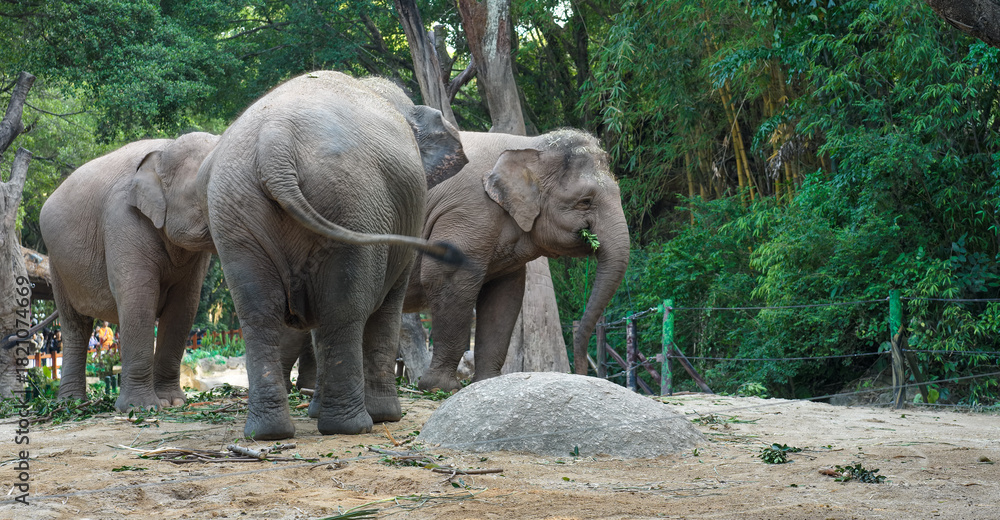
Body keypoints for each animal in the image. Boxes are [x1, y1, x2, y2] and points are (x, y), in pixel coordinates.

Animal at [40, 132, 220, 411]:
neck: (165, 149)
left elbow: (184, 306)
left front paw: (173, 402)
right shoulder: (122, 219)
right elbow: (139, 295)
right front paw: (141, 408)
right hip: (57, 265)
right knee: (75, 326)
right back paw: (72, 404)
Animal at [196, 70, 466, 440]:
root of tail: (274, 144)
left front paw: (314, 411)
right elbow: (387, 308)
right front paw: (388, 417)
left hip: (236, 210)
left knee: (259, 314)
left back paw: (268, 433)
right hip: (351, 203)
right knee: (343, 310)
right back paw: (354, 426)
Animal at [402, 129, 631, 392]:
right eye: (585, 201)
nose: (582, 374)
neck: (529, 144)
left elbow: (505, 295)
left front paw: (488, 383)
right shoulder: (466, 211)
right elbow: (446, 277)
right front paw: (440, 388)